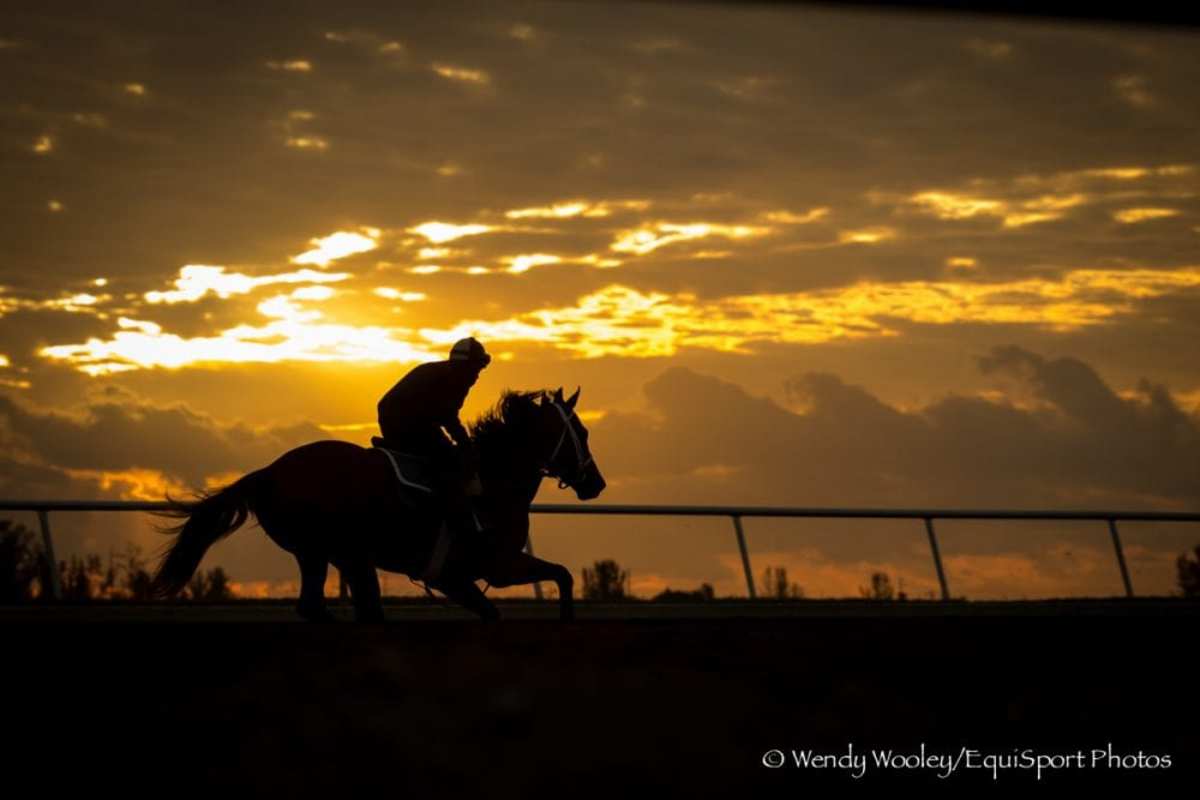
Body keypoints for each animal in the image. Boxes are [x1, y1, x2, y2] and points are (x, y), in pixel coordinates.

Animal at [151, 383, 604, 623]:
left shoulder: (463, 577)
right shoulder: (492, 566)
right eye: (581, 432)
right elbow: (560, 576)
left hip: (328, 554)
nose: (595, 483)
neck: (494, 480)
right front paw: (566, 620)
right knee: (351, 610)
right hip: (336, 550)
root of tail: (268, 472)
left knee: (329, 608)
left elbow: (552, 579)